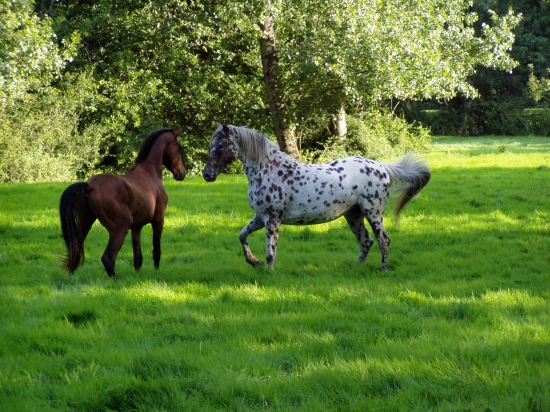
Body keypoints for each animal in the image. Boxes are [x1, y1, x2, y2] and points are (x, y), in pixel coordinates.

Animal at [59, 127, 187, 278]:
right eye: (179, 147)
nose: (182, 173)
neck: (149, 173)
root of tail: (90, 186)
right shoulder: (158, 220)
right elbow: (156, 250)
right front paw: (156, 271)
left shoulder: (136, 227)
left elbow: (137, 257)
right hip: (120, 228)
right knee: (108, 257)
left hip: (85, 224)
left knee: (75, 250)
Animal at [203, 124, 432, 272]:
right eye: (211, 146)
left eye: (221, 146)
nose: (207, 174)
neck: (270, 170)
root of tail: (382, 167)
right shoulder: (260, 217)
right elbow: (242, 236)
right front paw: (254, 262)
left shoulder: (272, 219)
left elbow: (271, 251)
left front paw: (269, 272)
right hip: (353, 215)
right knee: (365, 241)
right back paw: (356, 267)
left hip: (373, 213)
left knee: (383, 239)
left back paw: (383, 269)